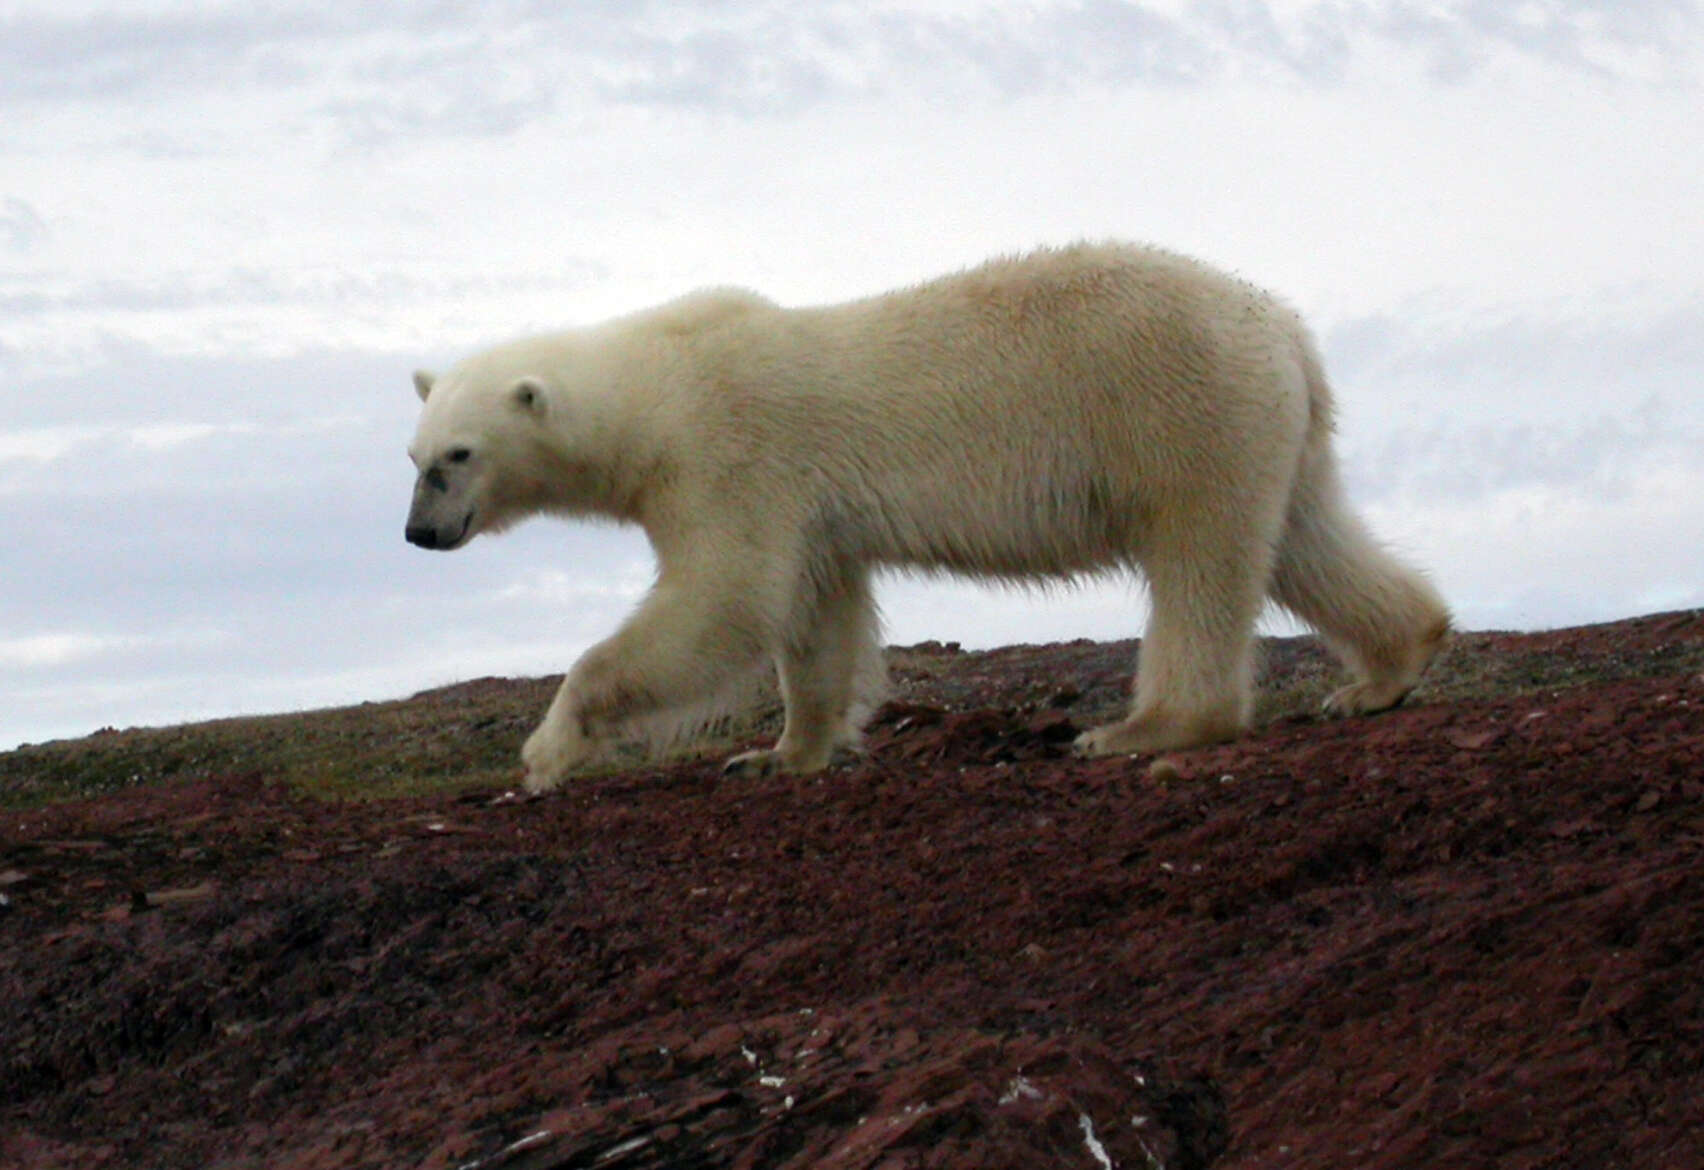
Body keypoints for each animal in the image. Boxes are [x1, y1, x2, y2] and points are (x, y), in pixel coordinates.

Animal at [402, 245, 1451, 797]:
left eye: (458, 457)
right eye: (412, 459)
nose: (418, 536)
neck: (655, 386)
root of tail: (1288, 333)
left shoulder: (730, 457)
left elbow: (724, 602)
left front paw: (545, 751)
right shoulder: (808, 507)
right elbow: (814, 616)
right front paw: (782, 752)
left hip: (1181, 412)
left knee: (1200, 559)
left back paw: (1141, 727)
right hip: (1271, 430)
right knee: (1306, 538)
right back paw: (1383, 672)